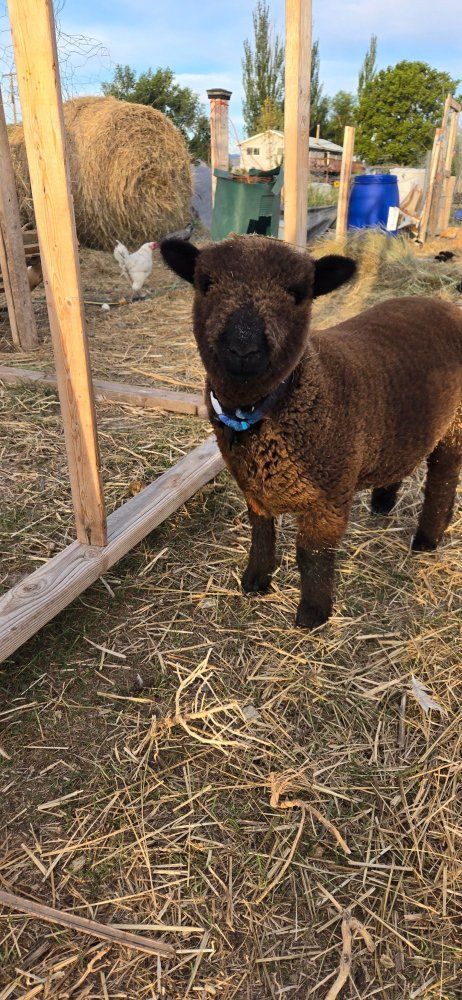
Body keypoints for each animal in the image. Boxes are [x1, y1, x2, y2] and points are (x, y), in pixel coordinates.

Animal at [160, 235, 462, 629]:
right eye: (205, 284)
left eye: (297, 293)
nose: (242, 348)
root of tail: (445, 305)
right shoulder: (254, 489)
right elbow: (261, 533)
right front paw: (255, 580)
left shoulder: (328, 497)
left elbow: (311, 554)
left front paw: (313, 614)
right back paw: (385, 504)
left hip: (454, 426)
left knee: (443, 477)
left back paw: (427, 538)